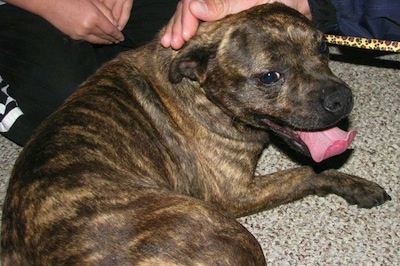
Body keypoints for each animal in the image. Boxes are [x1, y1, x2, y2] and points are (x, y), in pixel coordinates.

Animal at [0, 3, 390, 264]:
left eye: (322, 47)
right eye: (270, 77)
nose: (341, 99)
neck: (197, 88)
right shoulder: (235, 193)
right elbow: (308, 172)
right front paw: (357, 185)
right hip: (230, 233)